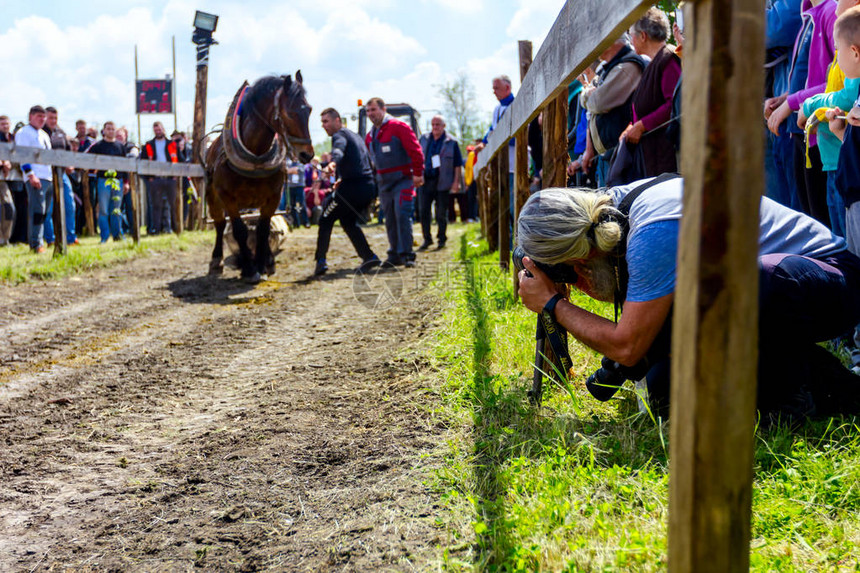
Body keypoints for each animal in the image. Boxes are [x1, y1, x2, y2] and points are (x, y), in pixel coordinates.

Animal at [203, 72, 314, 282]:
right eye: (289, 113)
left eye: (309, 110)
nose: (307, 154)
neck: (255, 155)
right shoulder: (228, 198)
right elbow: (239, 230)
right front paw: (249, 268)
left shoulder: (273, 197)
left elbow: (263, 230)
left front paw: (263, 265)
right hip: (213, 198)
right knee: (220, 224)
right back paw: (216, 261)